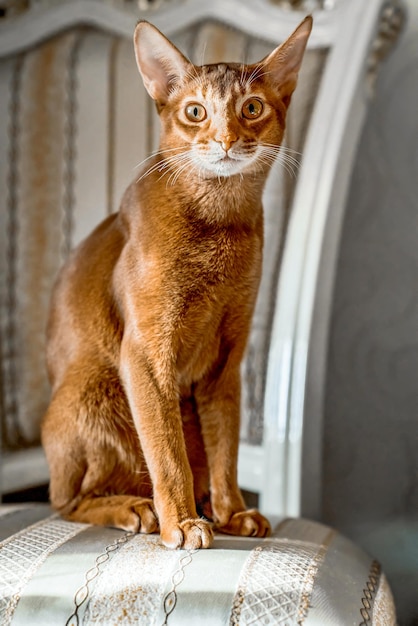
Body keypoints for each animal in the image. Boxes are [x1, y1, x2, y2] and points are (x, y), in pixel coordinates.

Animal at [40, 15, 312, 544]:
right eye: (195, 111)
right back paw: (136, 508)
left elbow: (225, 445)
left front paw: (230, 511)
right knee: (67, 502)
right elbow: (167, 453)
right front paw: (182, 522)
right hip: (95, 389)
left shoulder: (227, 361)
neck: (219, 224)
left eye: (252, 108)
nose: (226, 140)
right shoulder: (145, 354)